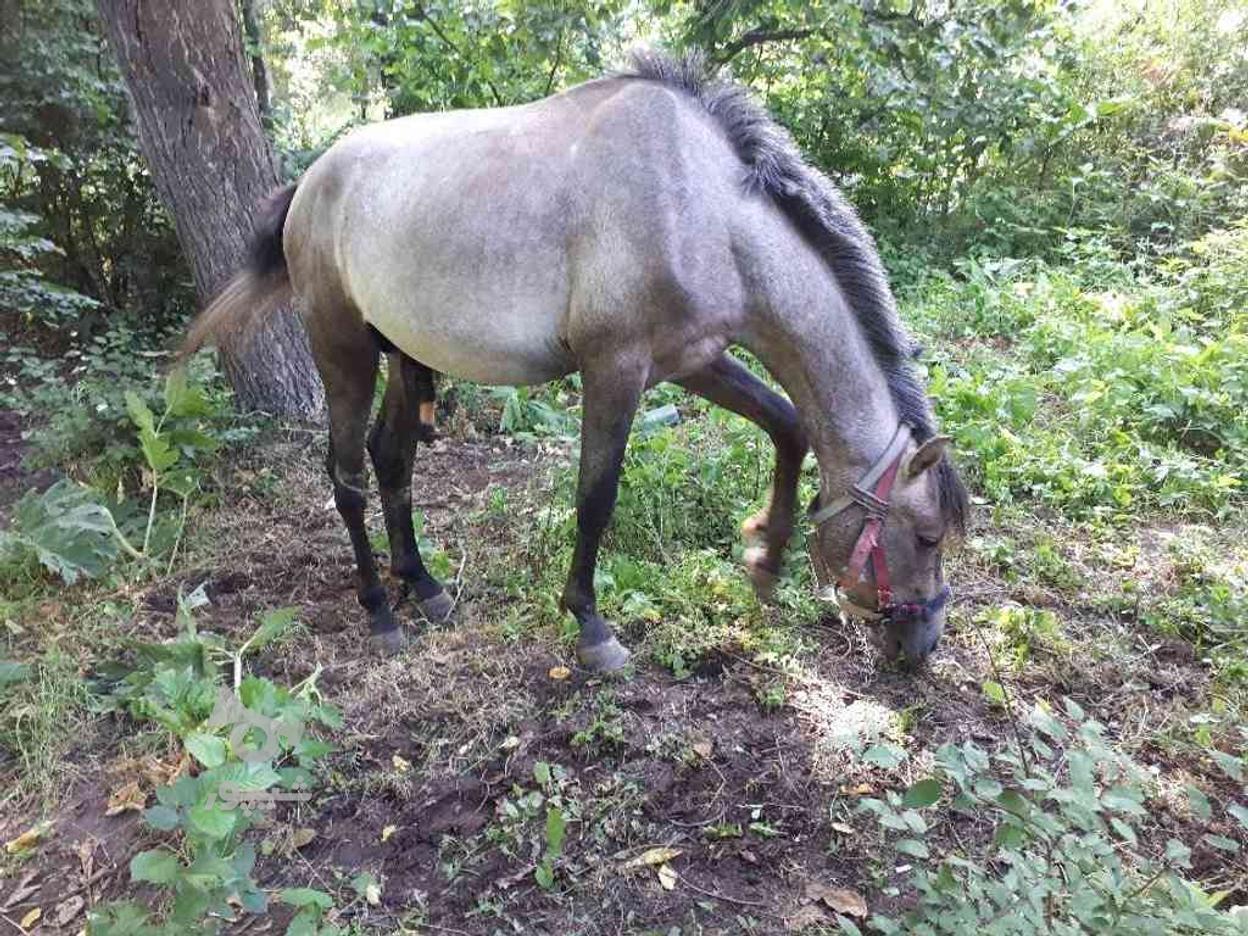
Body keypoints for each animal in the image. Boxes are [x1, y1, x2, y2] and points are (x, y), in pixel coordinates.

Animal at [182, 51, 963, 668]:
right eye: (926, 537)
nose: (923, 647)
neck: (700, 209)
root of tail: (312, 183)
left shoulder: (692, 360)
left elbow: (788, 424)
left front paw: (765, 557)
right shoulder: (614, 370)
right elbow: (596, 498)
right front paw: (591, 628)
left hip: (403, 354)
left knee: (391, 459)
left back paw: (425, 587)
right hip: (342, 351)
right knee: (345, 476)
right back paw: (379, 608)